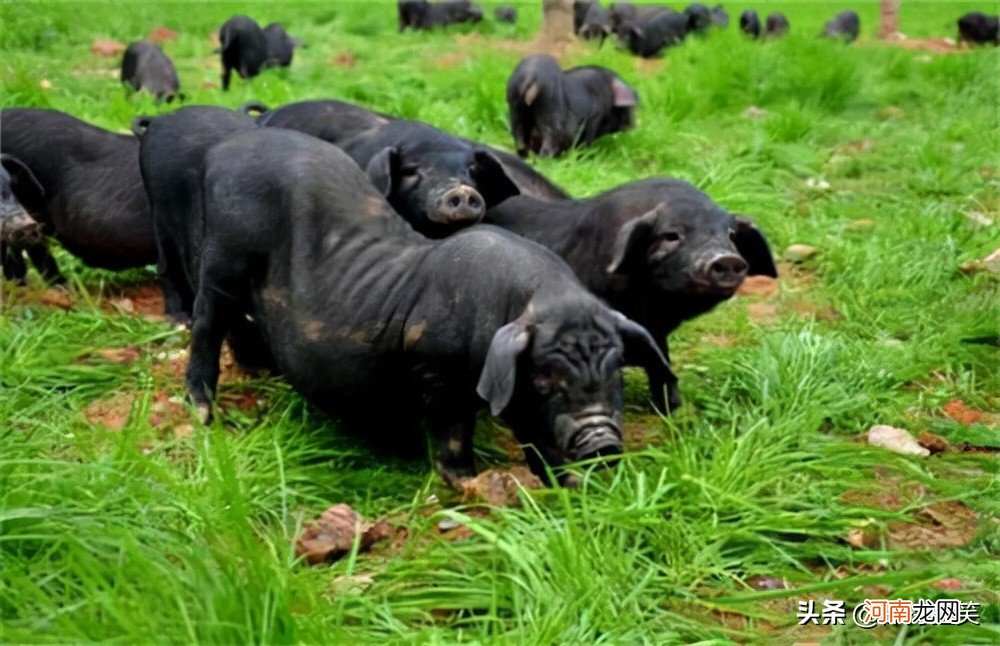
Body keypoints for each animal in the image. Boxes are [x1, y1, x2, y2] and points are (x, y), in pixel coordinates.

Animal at [484, 177, 780, 410]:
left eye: (731, 236)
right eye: (671, 235)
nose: (727, 258)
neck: (647, 305)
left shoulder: (656, 331)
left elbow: (662, 360)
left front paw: (672, 407)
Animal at [508, 54, 640, 158]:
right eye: (630, 108)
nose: (634, 123)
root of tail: (531, 76)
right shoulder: (595, 117)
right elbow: (586, 142)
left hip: (515, 108)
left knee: (519, 138)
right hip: (549, 107)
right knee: (549, 139)